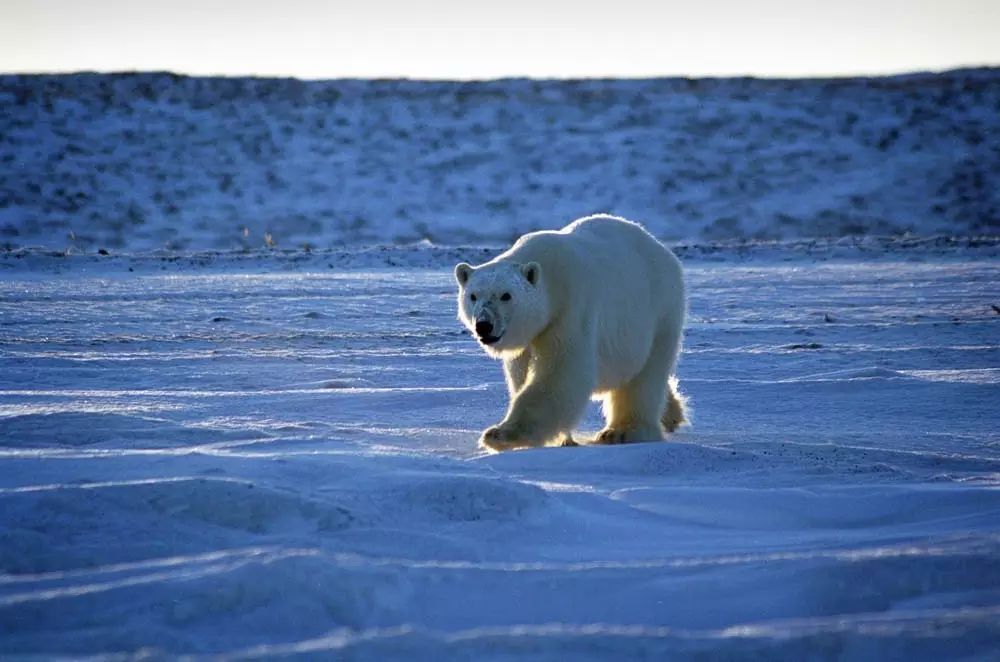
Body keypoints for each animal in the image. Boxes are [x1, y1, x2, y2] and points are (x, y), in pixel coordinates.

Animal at [456, 215, 684, 454]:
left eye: (506, 295)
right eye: (473, 296)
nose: (484, 325)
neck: (550, 277)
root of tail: (659, 247)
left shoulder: (570, 310)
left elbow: (560, 373)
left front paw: (500, 434)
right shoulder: (530, 337)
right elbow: (522, 374)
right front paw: (562, 438)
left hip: (659, 312)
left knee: (646, 377)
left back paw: (622, 432)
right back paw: (672, 414)